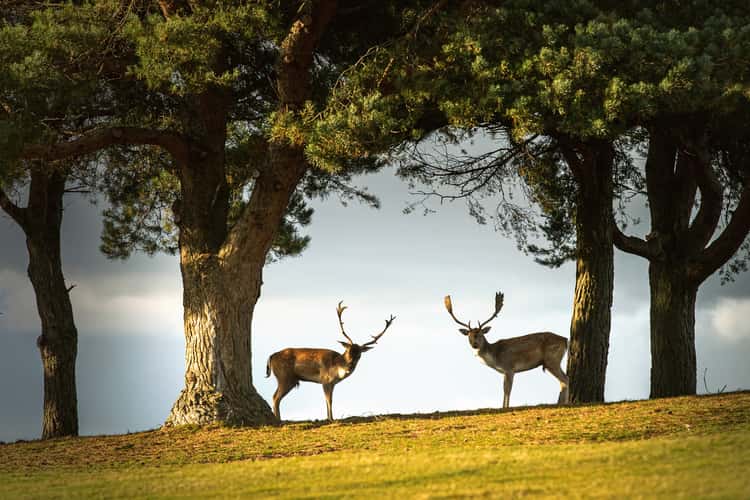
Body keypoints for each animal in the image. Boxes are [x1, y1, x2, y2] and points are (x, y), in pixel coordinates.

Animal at [266, 301, 395, 421]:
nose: (350, 366)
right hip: (285, 377)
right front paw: (331, 419)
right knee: (275, 397)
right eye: (348, 351)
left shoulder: (332, 383)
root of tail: (271, 356)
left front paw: (329, 417)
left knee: (275, 397)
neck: (337, 367)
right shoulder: (325, 380)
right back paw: (278, 419)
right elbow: (329, 400)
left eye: (359, 355)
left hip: (289, 380)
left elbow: (329, 400)